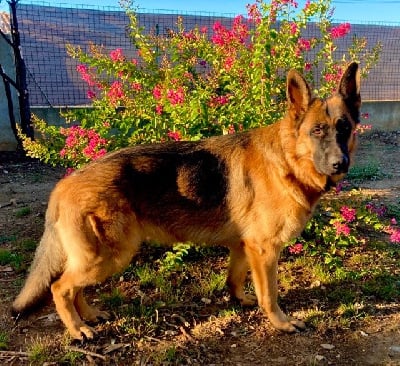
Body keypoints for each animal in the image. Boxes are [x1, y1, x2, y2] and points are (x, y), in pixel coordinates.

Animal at [12, 62, 360, 340]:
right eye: (317, 131)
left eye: (344, 128)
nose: (340, 164)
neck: (287, 159)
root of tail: (64, 184)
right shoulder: (265, 251)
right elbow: (270, 295)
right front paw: (281, 323)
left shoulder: (244, 247)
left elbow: (235, 279)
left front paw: (239, 300)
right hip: (109, 256)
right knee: (60, 287)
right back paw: (78, 329)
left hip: (97, 257)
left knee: (74, 287)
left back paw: (90, 316)